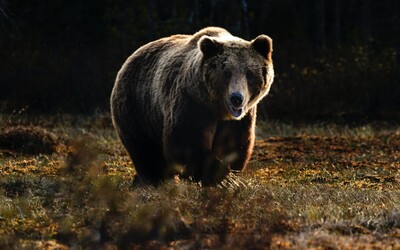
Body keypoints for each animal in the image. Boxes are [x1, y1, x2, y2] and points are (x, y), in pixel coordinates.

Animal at [109, 26, 274, 186]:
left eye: (249, 74)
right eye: (226, 73)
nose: (237, 98)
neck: (217, 109)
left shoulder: (240, 119)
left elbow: (233, 143)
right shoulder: (192, 102)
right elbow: (187, 141)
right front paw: (224, 179)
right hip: (138, 107)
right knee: (145, 149)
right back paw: (155, 179)